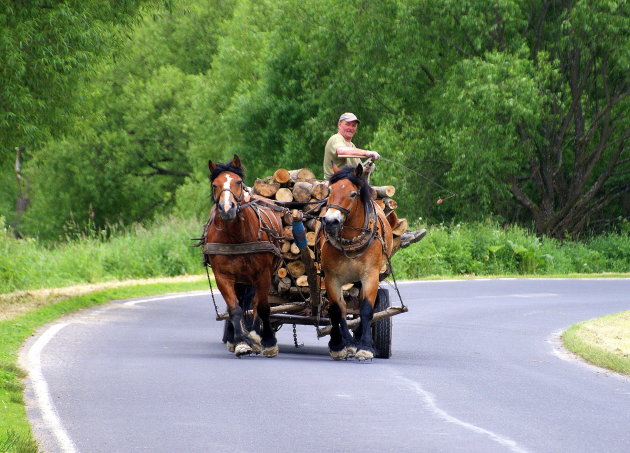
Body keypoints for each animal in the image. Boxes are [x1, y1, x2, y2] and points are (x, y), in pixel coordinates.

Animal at [204, 155, 286, 356]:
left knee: (255, 304)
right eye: (215, 185)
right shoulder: (222, 275)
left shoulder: (263, 274)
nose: (227, 209)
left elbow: (262, 307)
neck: (236, 236)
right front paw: (240, 342)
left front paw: (267, 341)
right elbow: (234, 307)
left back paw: (257, 334)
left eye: (238, 182)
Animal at [320, 162, 396, 360]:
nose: (330, 221)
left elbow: (367, 309)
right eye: (329, 190)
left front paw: (365, 347)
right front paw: (342, 344)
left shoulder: (370, 275)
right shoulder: (331, 277)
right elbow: (338, 310)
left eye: (353, 194)